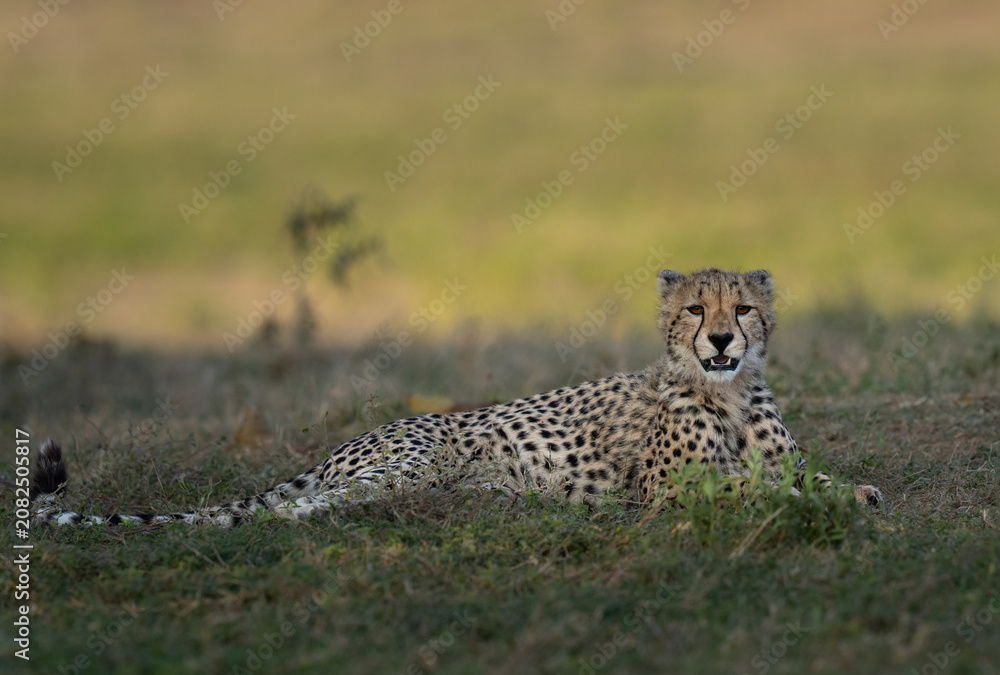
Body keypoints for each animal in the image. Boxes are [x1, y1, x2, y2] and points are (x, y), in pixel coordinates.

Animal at [30, 267, 882, 528]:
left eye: (742, 307)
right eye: (696, 310)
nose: (722, 341)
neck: (726, 392)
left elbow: (800, 475)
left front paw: (854, 490)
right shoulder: (666, 487)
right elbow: (746, 487)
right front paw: (823, 500)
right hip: (411, 466)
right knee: (300, 506)